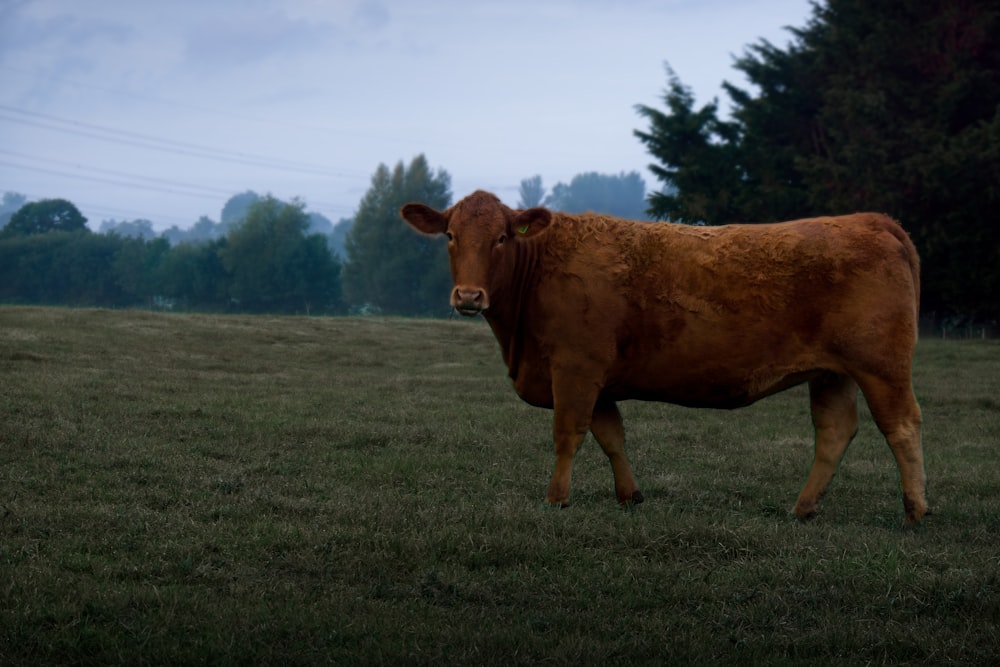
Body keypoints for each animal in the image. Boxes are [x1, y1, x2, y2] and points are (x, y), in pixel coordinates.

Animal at [398, 190, 928, 524]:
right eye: (450, 236)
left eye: (502, 237)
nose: (469, 296)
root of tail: (869, 220)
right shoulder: (599, 381)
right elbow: (611, 436)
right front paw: (629, 496)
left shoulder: (575, 369)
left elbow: (568, 435)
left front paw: (556, 499)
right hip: (832, 373)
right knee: (835, 432)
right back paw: (802, 508)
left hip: (881, 367)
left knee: (901, 427)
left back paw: (914, 510)